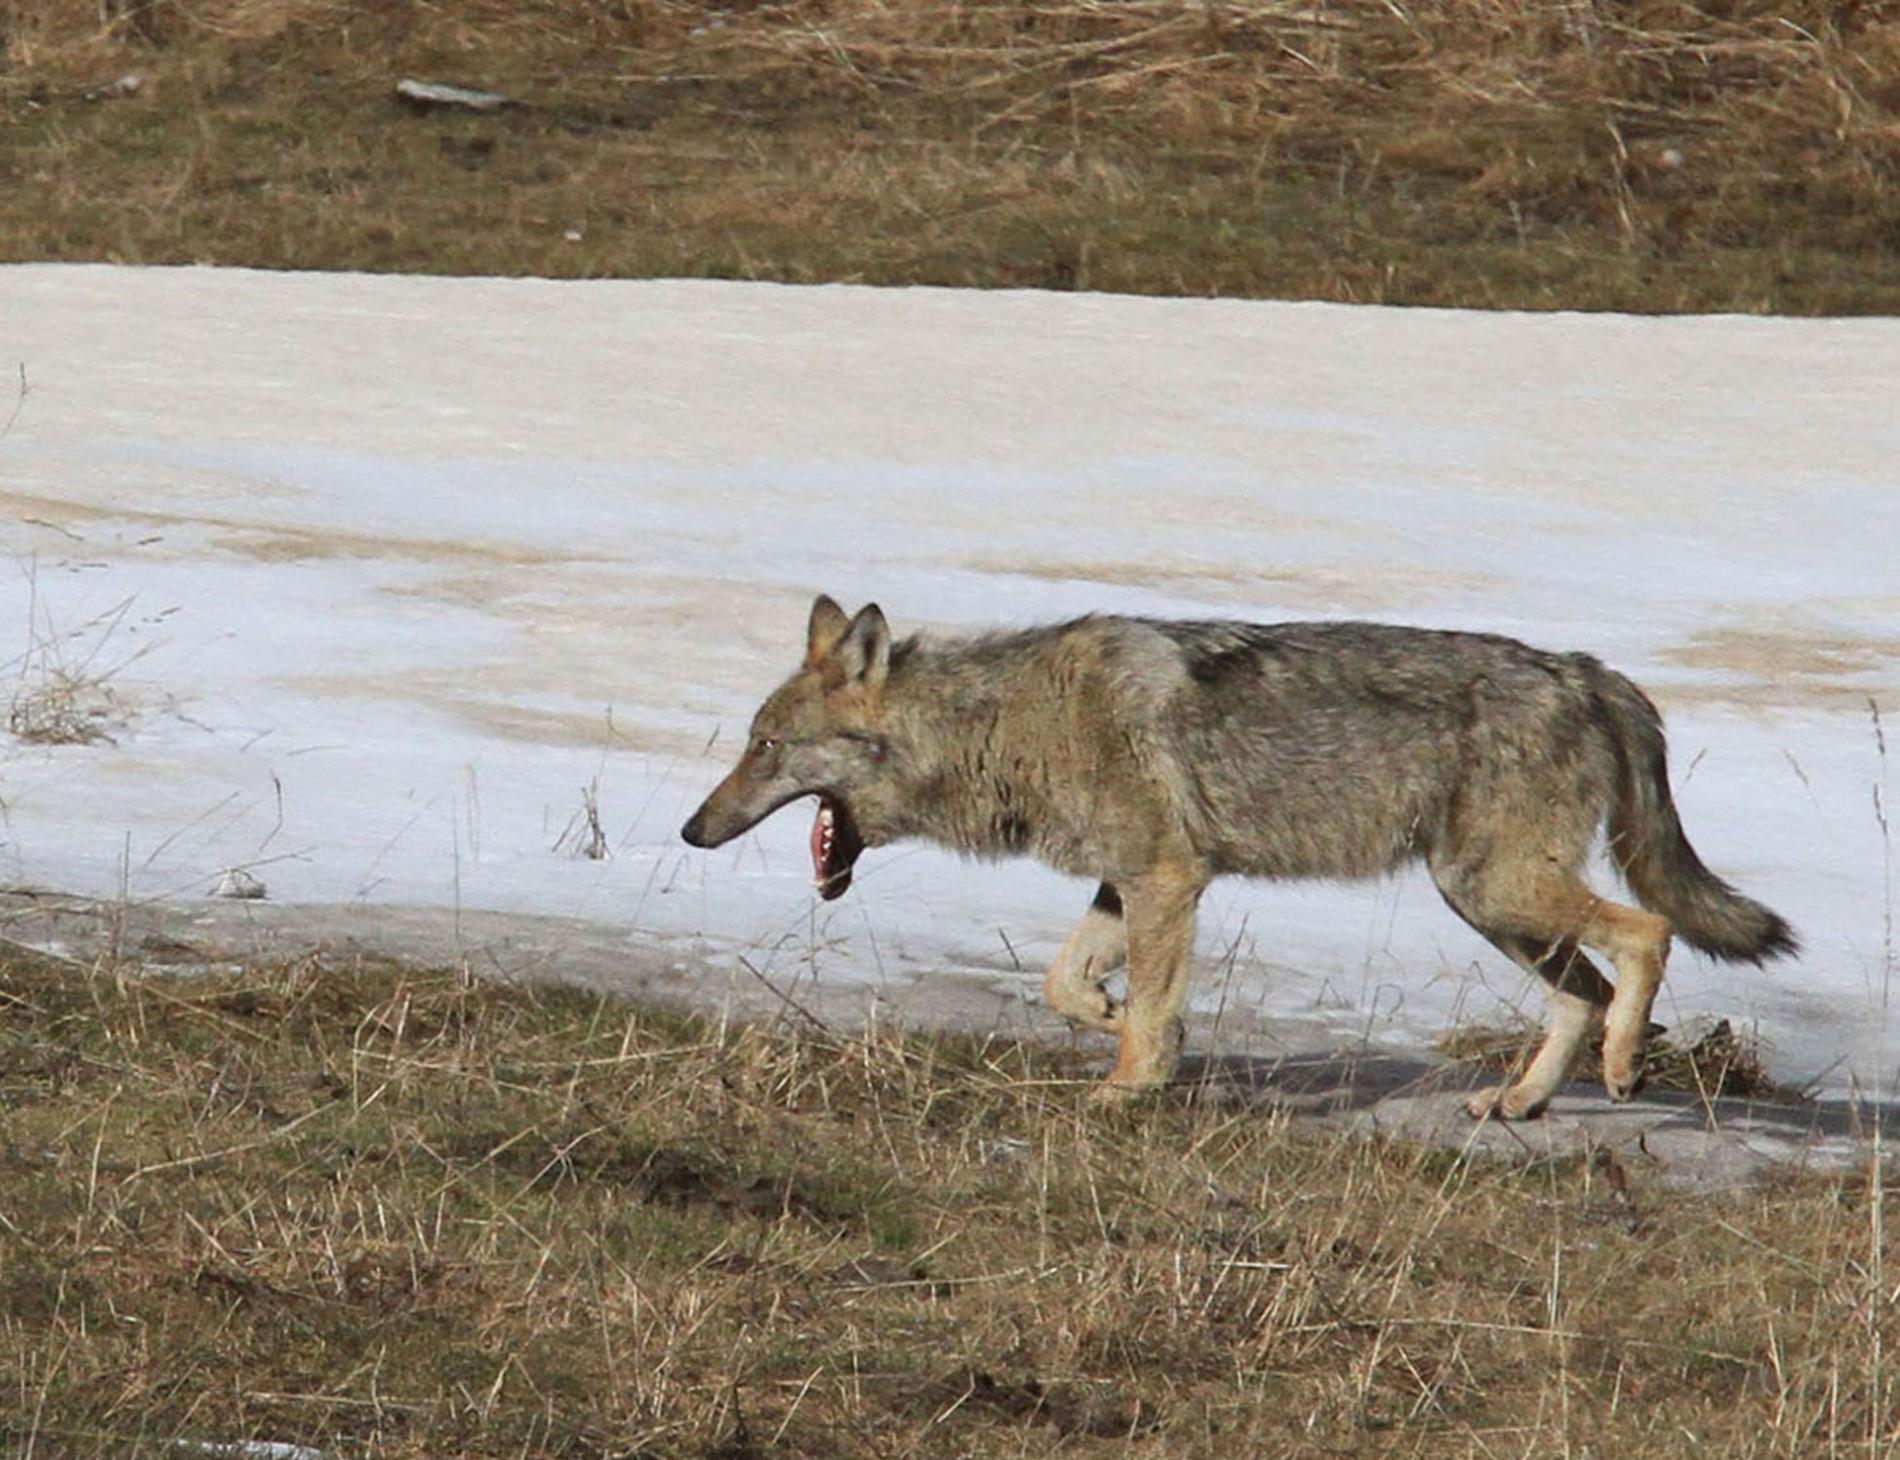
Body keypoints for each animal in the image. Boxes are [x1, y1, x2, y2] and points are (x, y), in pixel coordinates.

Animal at [684, 593, 1793, 1117]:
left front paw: (1128, 1086)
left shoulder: (1167, 880)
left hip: (1497, 889)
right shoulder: (1128, 880)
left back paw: (1619, 1072)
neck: (1009, 723)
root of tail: (1587, 668)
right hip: (1484, 901)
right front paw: (1123, 1026)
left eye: (765, 747)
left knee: (1644, 938)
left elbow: (1139, 1004)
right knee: (1585, 992)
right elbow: (1065, 983)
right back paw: (1520, 1102)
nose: (693, 829)